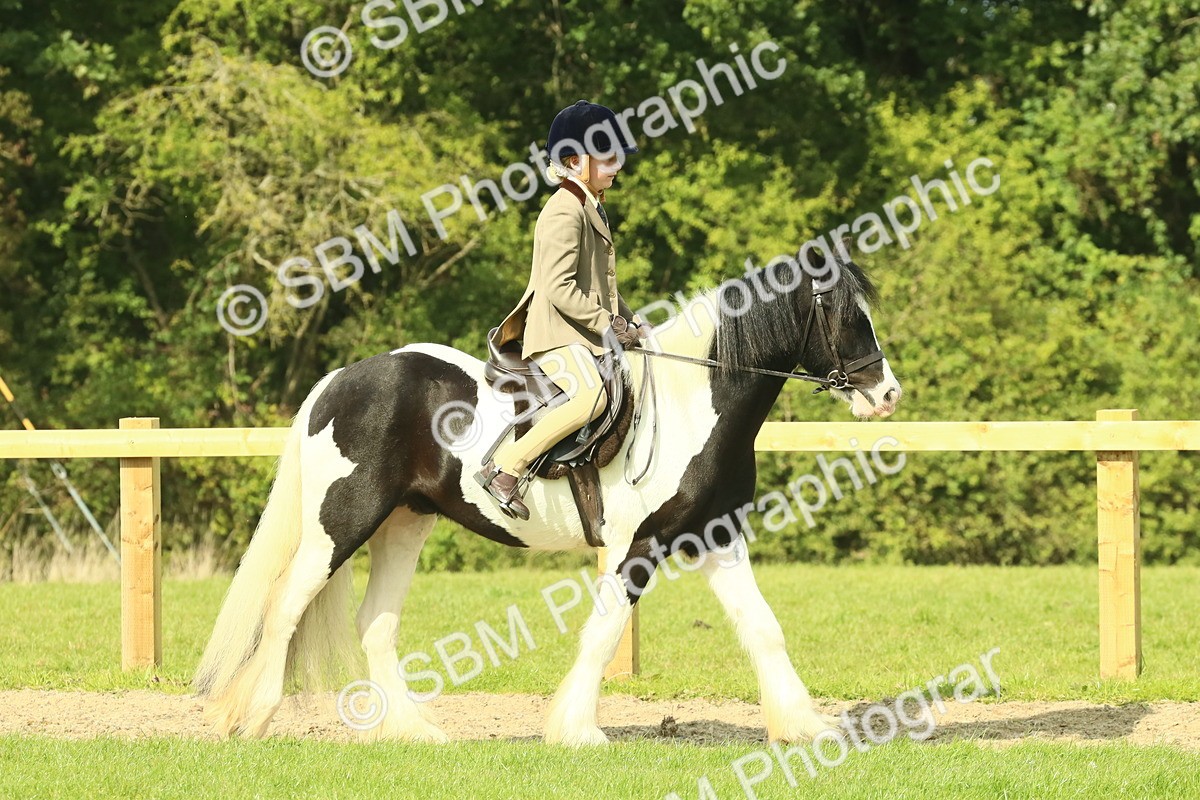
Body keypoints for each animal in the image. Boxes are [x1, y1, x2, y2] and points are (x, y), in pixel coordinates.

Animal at [193, 248, 903, 746]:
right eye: (846, 315)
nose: (887, 394)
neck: (692, 403)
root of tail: (340, 379)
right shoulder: (637, 545)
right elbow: (604, 632)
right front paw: (577, 731)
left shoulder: (715, 536)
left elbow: (764, 628)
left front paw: (804, 726)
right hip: (342, 522)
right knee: (285, 606)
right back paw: (250, 719)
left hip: (404, 523)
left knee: (376, 625)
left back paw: (415, 732)